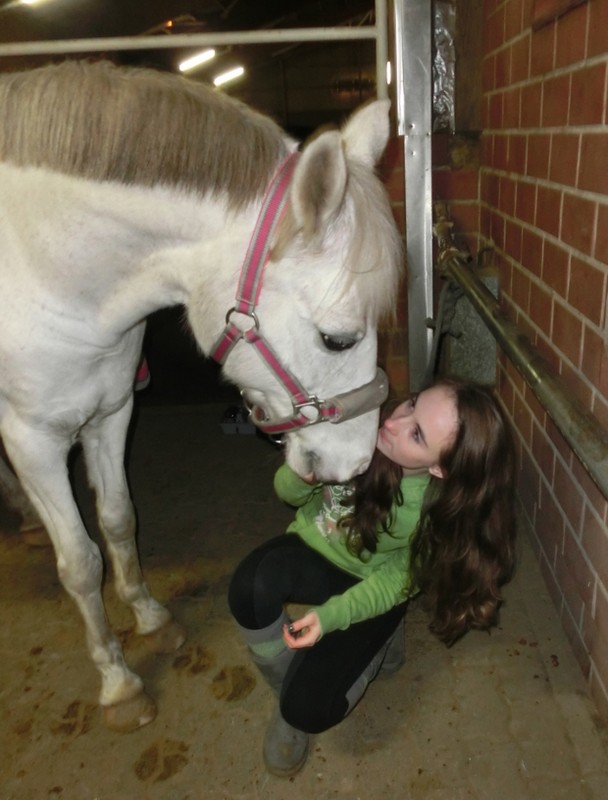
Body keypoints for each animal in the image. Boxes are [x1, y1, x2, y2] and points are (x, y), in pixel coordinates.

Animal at [0, 60, 402, 731]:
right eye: (337, 338)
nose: (357, 462)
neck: (43, 269)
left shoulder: (112, 413)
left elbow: (118, 520)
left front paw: (151, 620)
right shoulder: (34, 441)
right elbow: (81, 562)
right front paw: (118, 684)